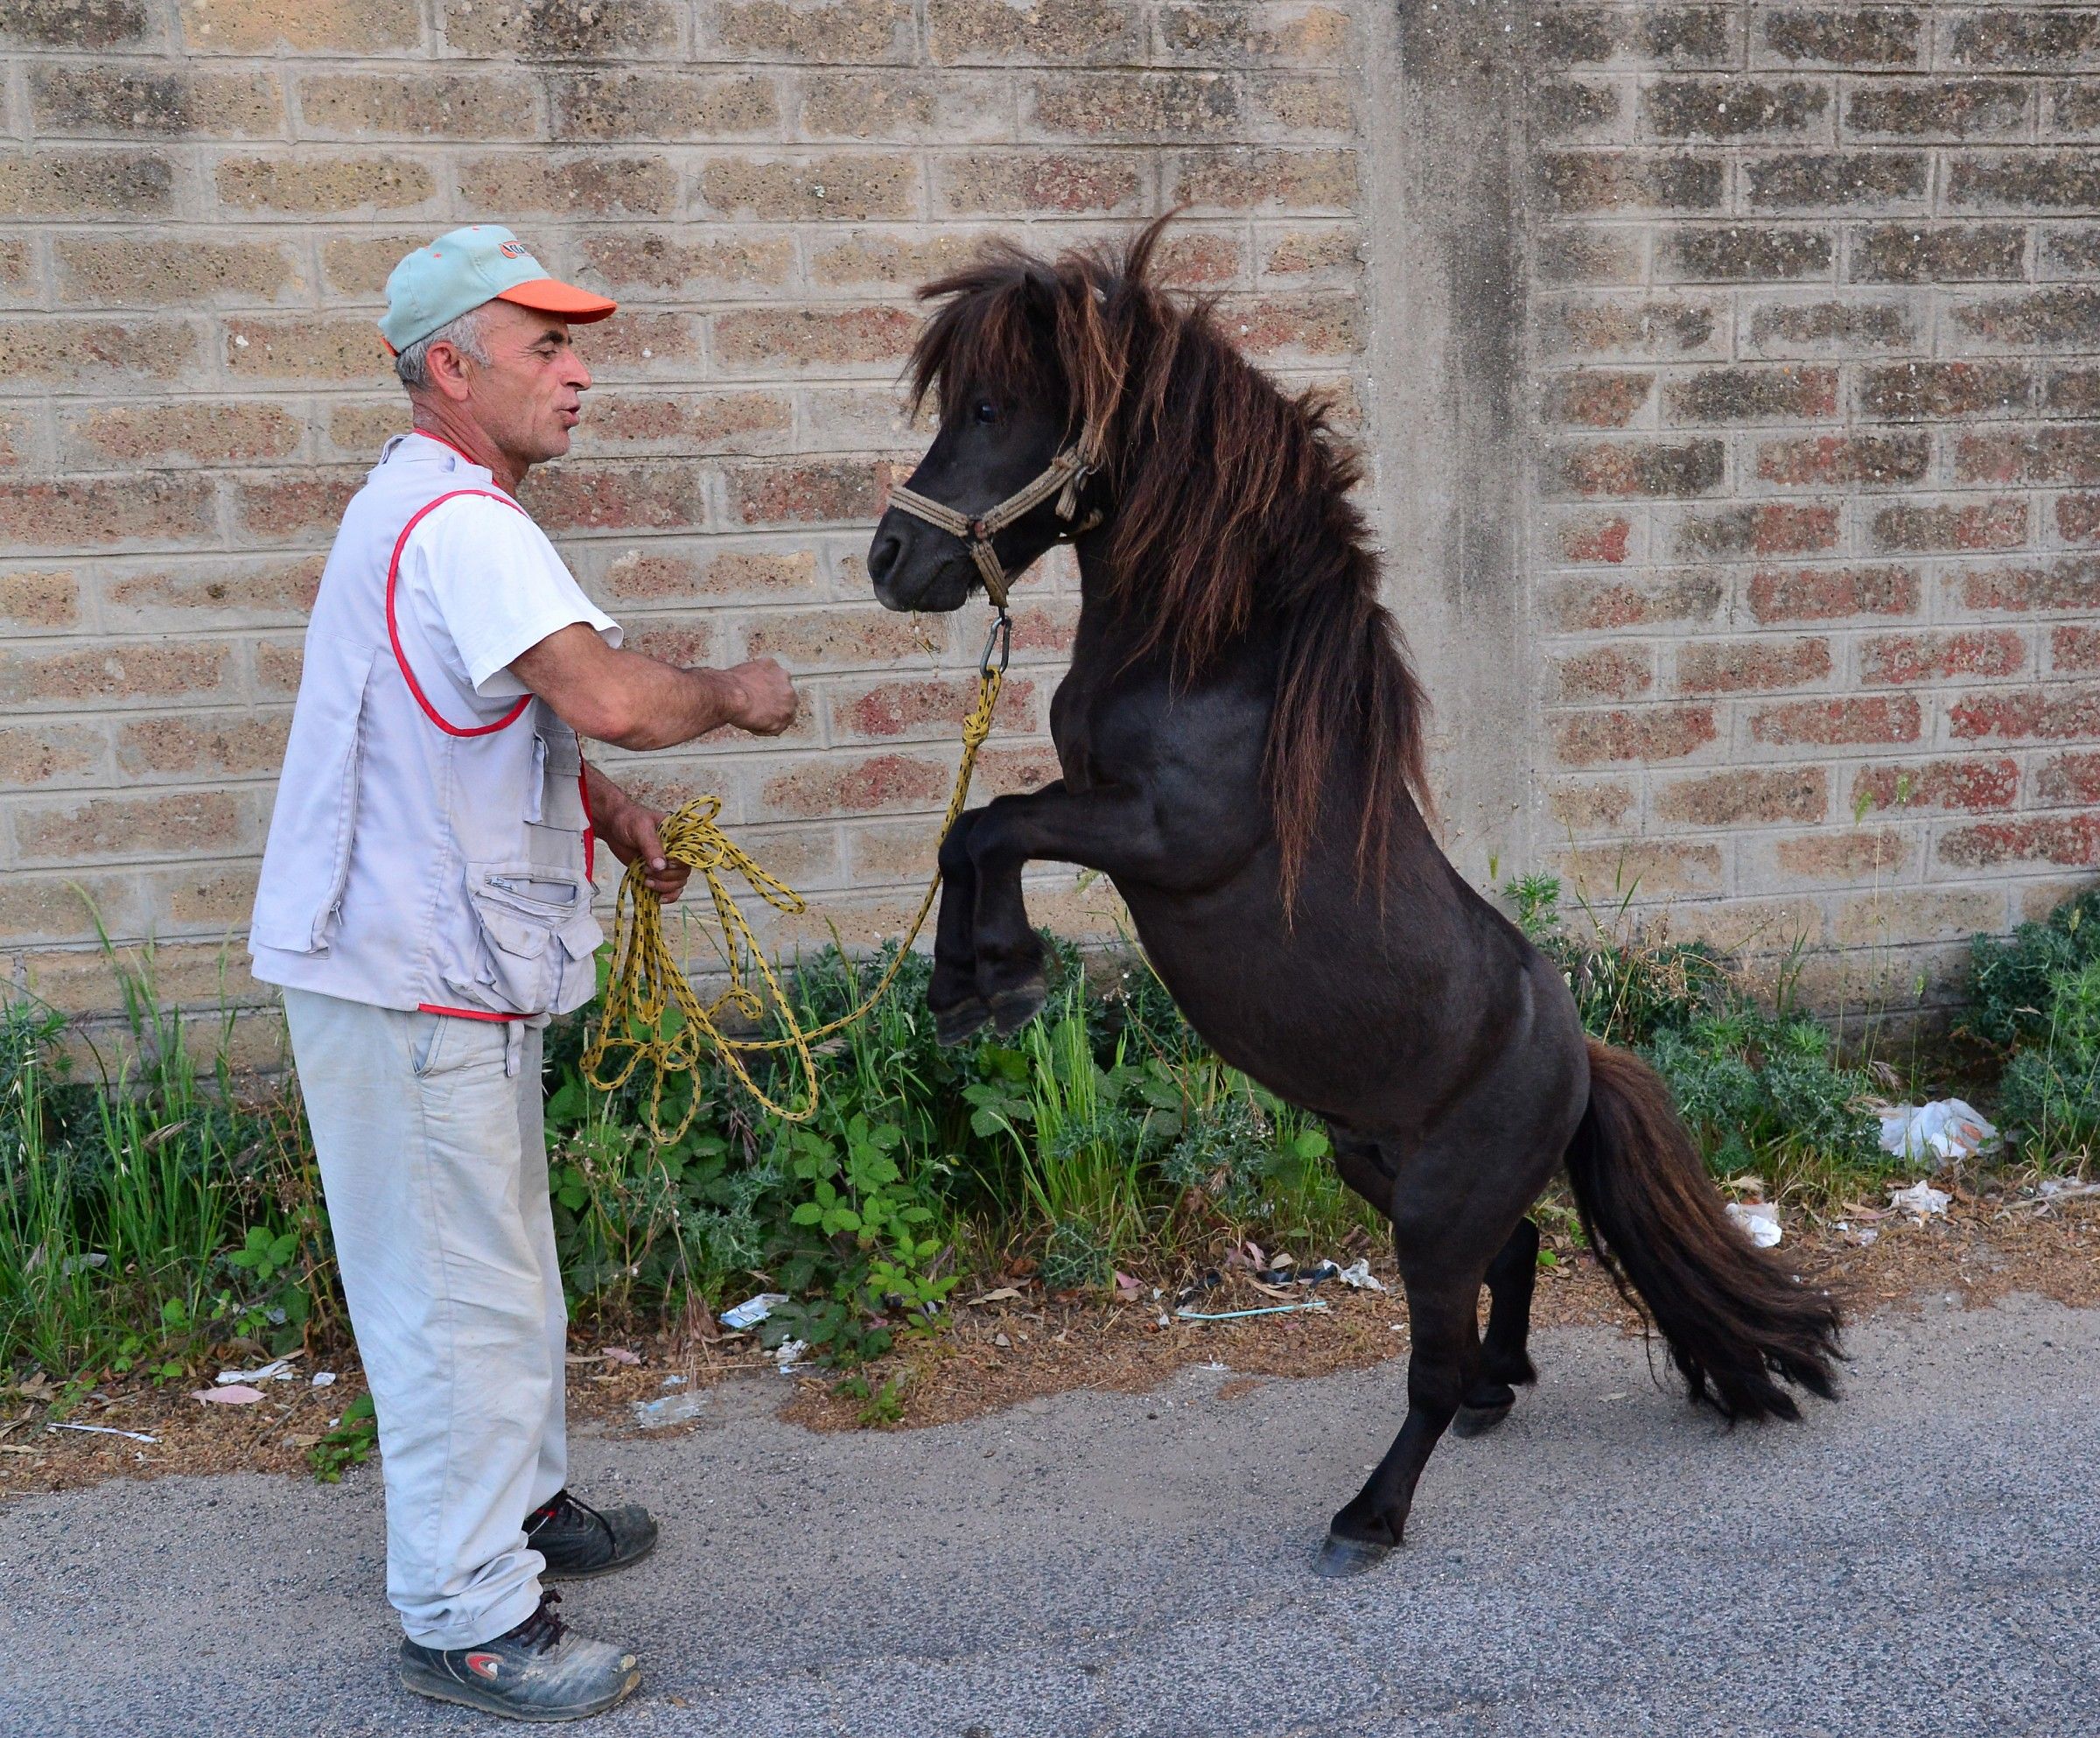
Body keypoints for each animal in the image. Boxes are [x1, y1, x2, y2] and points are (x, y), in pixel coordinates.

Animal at [863, 220, 1842, 1577]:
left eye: (997, 406)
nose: (890, 561)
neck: (1226, 657)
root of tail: (1578, 1060)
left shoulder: (1159, 835)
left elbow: (988, 824)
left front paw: (993, 981)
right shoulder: (1093, 791)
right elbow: (975, 825)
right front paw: (967, 988)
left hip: (1427, 1211)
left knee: (1431, 1361)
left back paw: (1370, 1515)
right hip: (1374, 1160)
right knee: (1514, 1255)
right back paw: (1497, 1389)